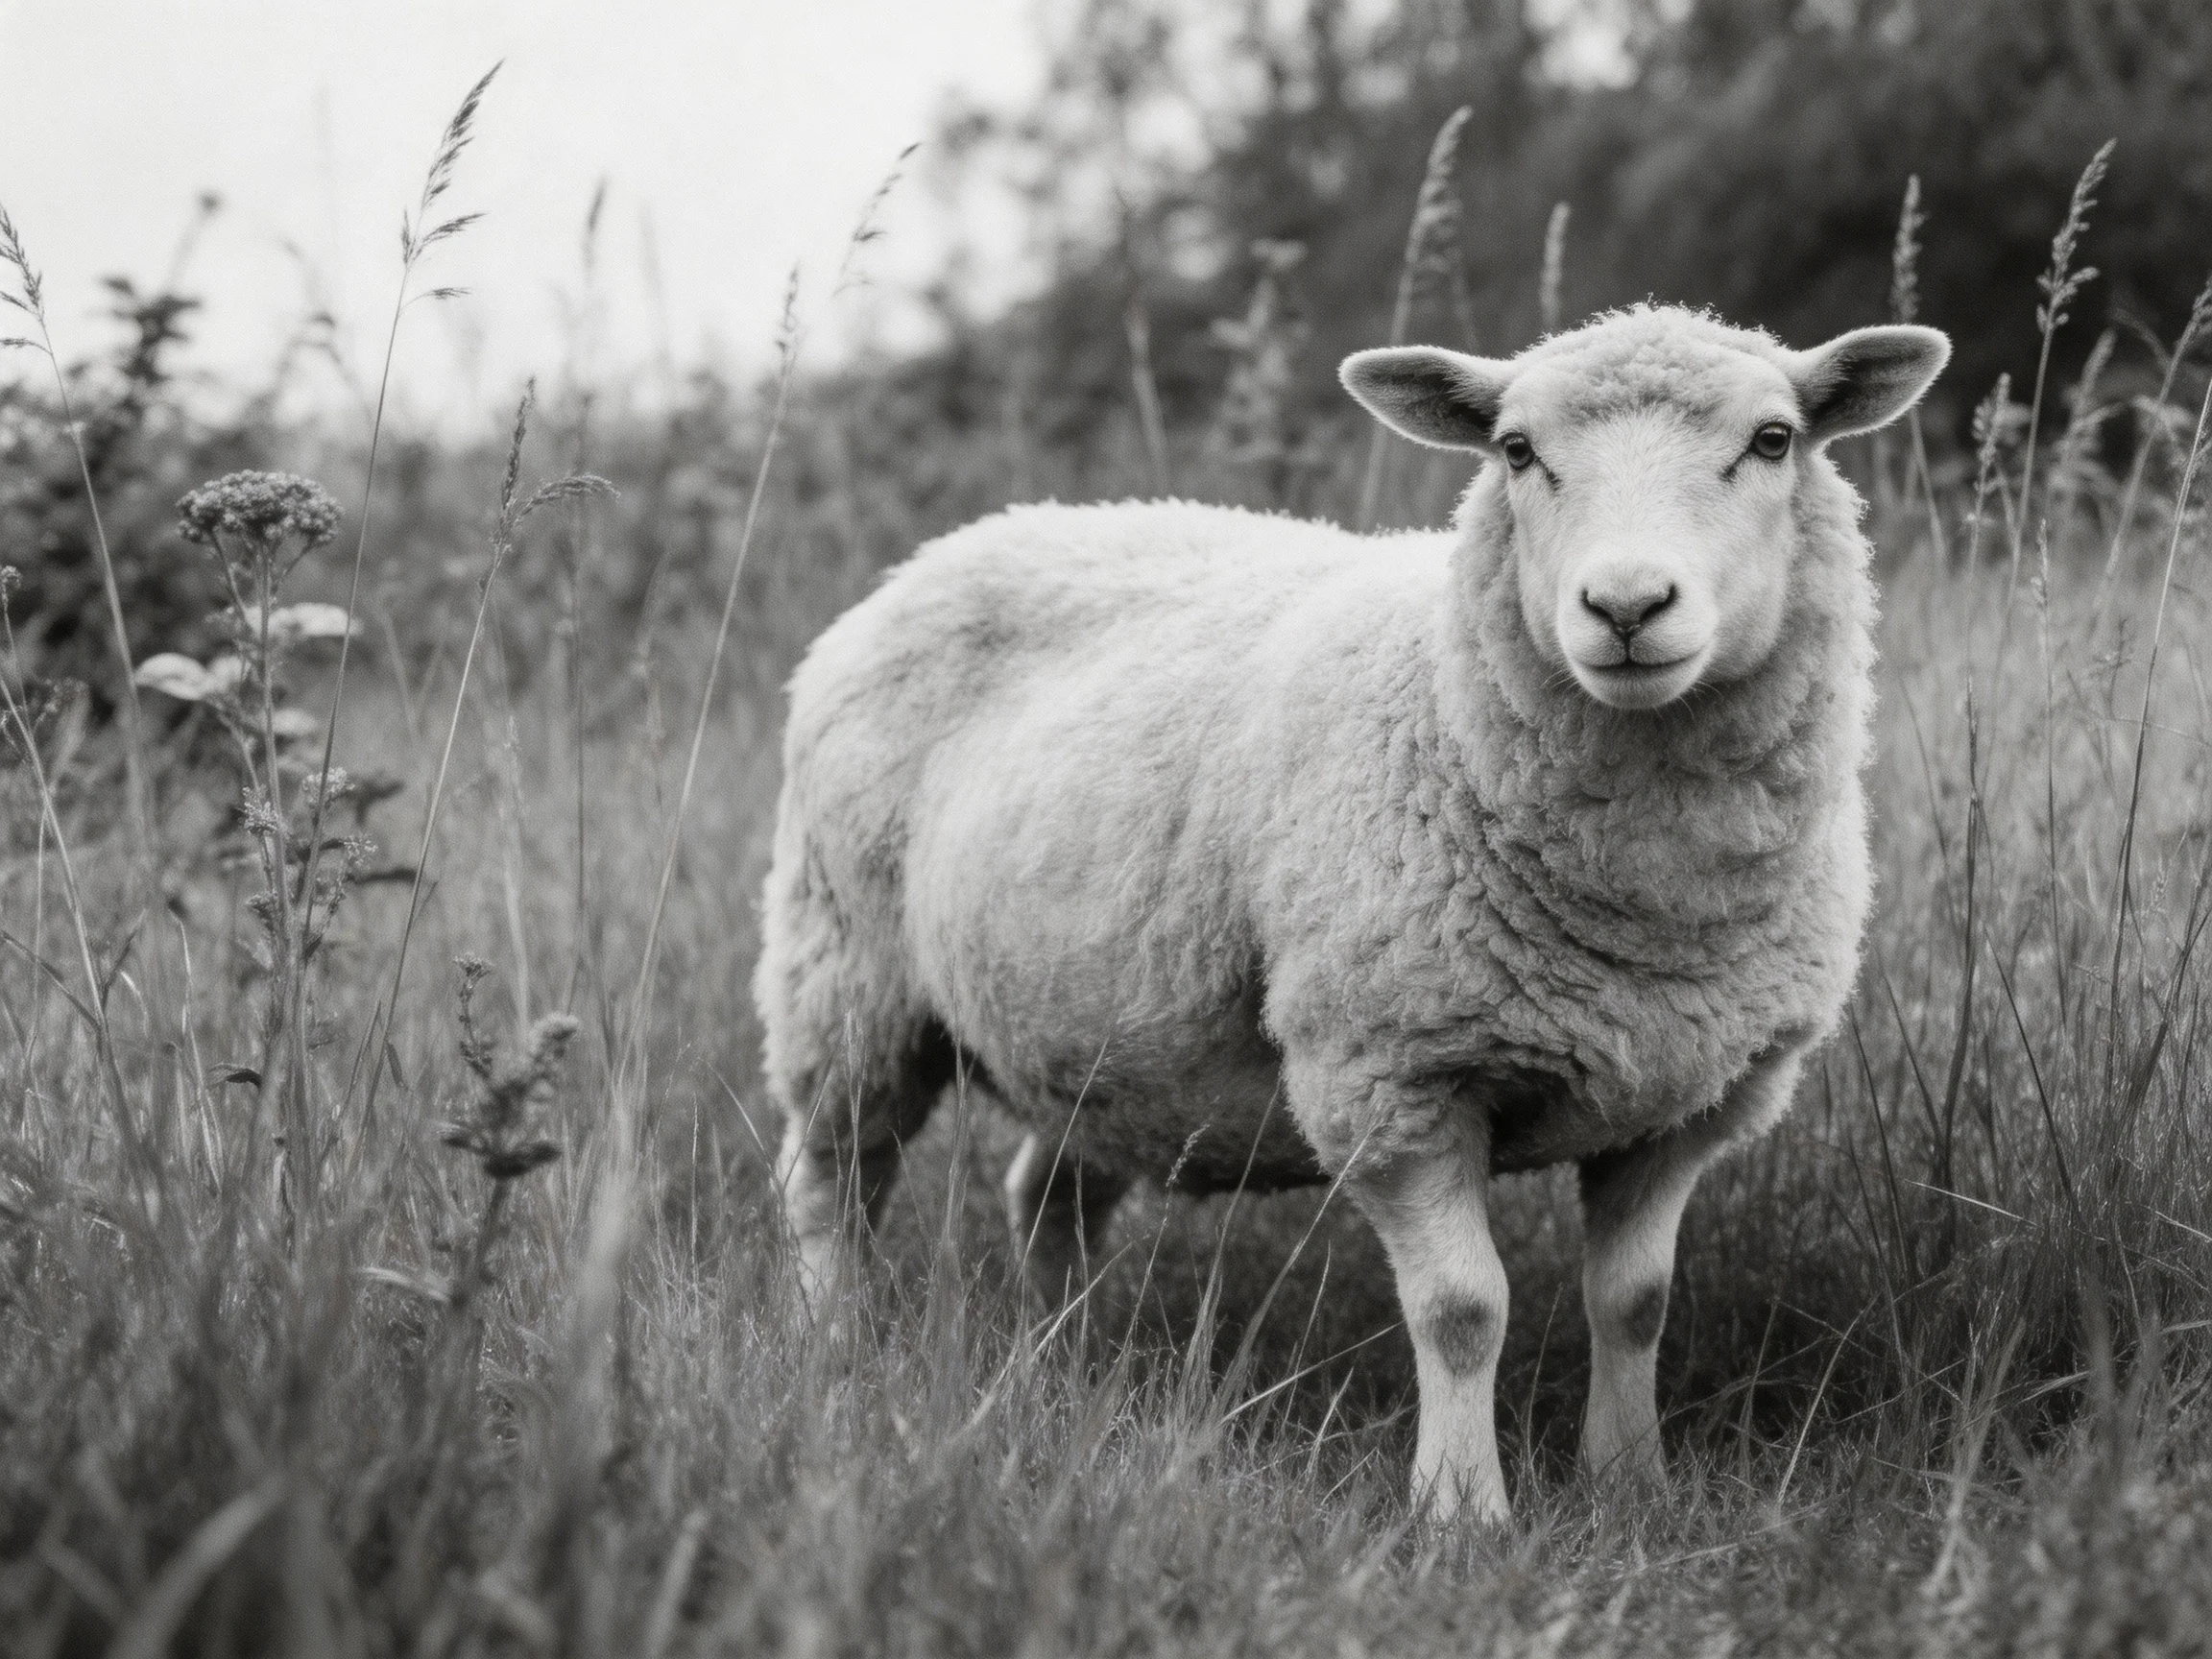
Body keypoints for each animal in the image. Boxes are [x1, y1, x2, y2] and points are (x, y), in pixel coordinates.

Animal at [754, 303, 1950, 1525]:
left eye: (1772, 440)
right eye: (1516, 451)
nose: (1625, 607)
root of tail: (952, 545)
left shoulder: (1684, 1099)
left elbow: (1637, 1301)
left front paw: (1631, 1487)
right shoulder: (1394, 1074)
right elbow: (1463, 1309)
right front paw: (1460, 1513)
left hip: (1093, 1034)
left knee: (1047, 1196)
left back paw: (1066, 1367)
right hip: (843, 972)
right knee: (831, 1184)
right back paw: (830, 1358)